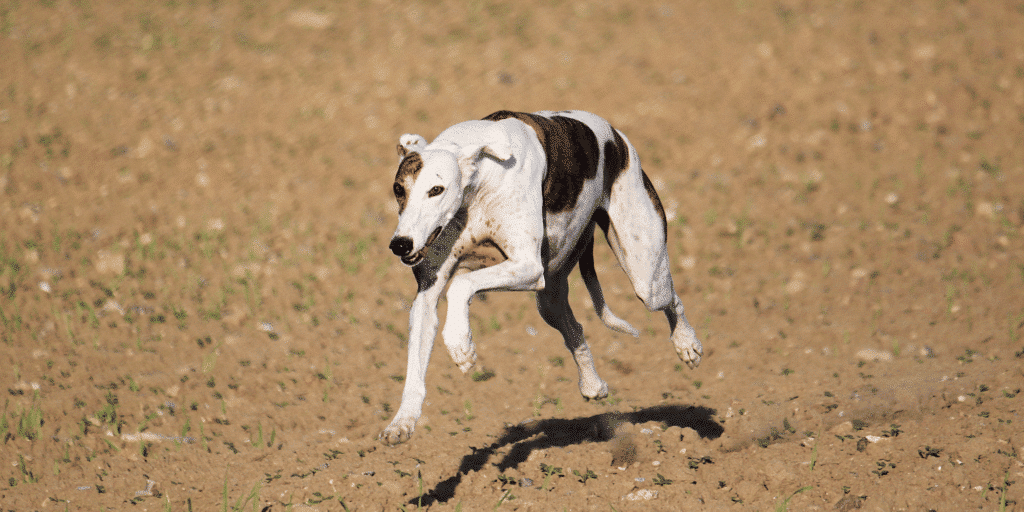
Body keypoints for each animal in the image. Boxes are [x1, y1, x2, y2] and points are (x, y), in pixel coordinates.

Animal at [380, 111, 700, 444]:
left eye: (436, 190)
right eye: (398, 189)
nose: (400, 244)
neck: (480, 179)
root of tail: (617, 137)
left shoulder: (527, 266)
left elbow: (461, 284)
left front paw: (460, 346)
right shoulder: (429, 293)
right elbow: (416, 363)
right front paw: (402, 422)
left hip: (645, 274)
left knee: (671, 298)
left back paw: (687, 344)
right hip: (550, 297)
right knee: (575, 329)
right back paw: (592, 384)